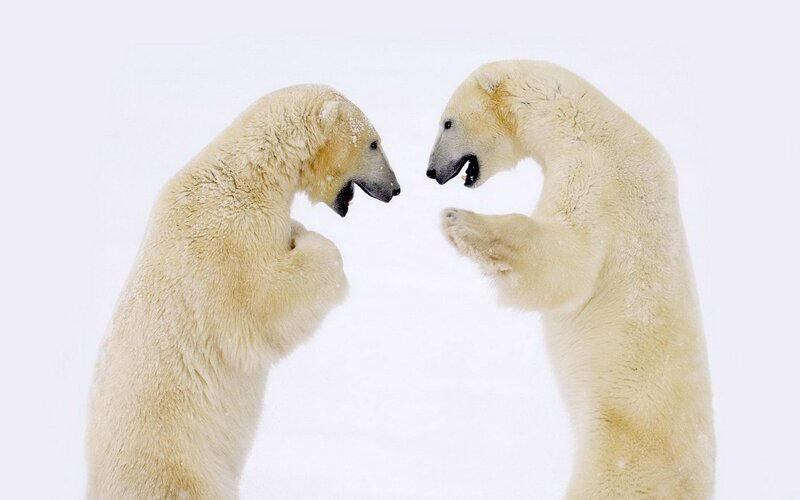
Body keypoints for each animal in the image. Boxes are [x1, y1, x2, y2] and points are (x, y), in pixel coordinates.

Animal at [86, 85, 400, 500]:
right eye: (373, 143)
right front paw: (311, 242)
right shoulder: (228, 237)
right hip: (181, 470)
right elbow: (266, 301)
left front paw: (297, 229)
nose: (395, 189)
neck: (249, 174)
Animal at [427, 61, 714, 499]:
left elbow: (568, 263)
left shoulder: (597, 174)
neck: (584, 121)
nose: (430, 171)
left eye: (446, 121)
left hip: (620, 452)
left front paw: (460, 221)